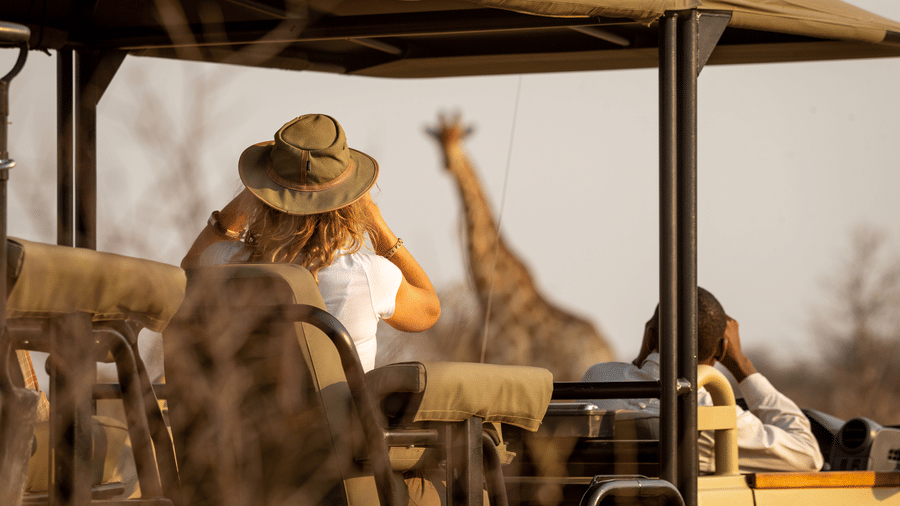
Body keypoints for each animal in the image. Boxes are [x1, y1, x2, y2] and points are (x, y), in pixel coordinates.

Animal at [427, 114, 615, 381]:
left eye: (460, 137)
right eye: (437, 140)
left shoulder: (508, 358)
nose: (448, 163)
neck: (489, 296)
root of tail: (607, 349)